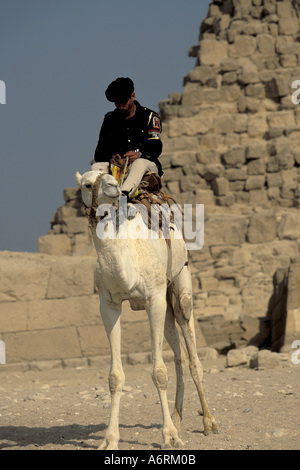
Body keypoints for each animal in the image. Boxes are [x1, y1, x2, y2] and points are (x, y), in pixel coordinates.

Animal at [74, 167, 216, 450]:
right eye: (87, 184)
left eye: (111, 178)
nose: (113, 188)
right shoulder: (108, 304)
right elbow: (115, 377)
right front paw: (109, 439)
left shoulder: (154, 299)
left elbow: (159, 372)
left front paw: (169, 437)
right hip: (167, 308)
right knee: (179, 355)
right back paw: (177, 419)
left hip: (180, 283)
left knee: (192, 352)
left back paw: (208, 422)